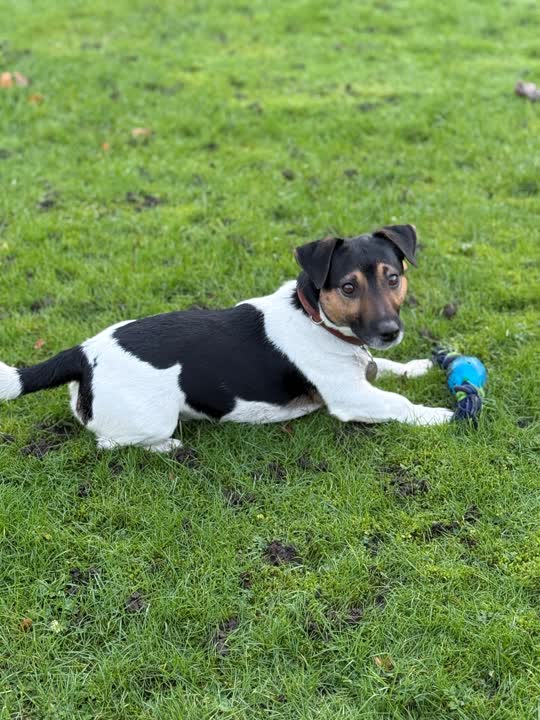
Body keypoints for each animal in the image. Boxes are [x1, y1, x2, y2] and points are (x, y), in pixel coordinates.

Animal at [0, 224, 453, 451]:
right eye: (347, 287)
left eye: (393, 278)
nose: (389, 332)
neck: (315, 318)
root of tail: (83, 352)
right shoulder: (351, 397)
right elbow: (397, 403)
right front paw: (439, 414)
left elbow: (389, 367)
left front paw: (416, 366)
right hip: (152, 417)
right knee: (109, 443)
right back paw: (166, 446)